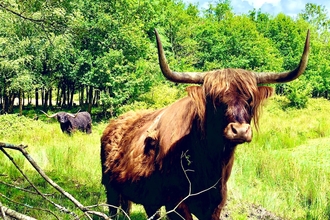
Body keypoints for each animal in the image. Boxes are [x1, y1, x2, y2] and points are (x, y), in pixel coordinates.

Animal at [100, 29, 310, 220]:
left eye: (250, 100)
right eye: (215, 100)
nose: (240, 131)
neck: (210, 163)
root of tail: (113, 123)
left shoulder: (216, 203)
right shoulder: (175, 203)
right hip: (110, 188)